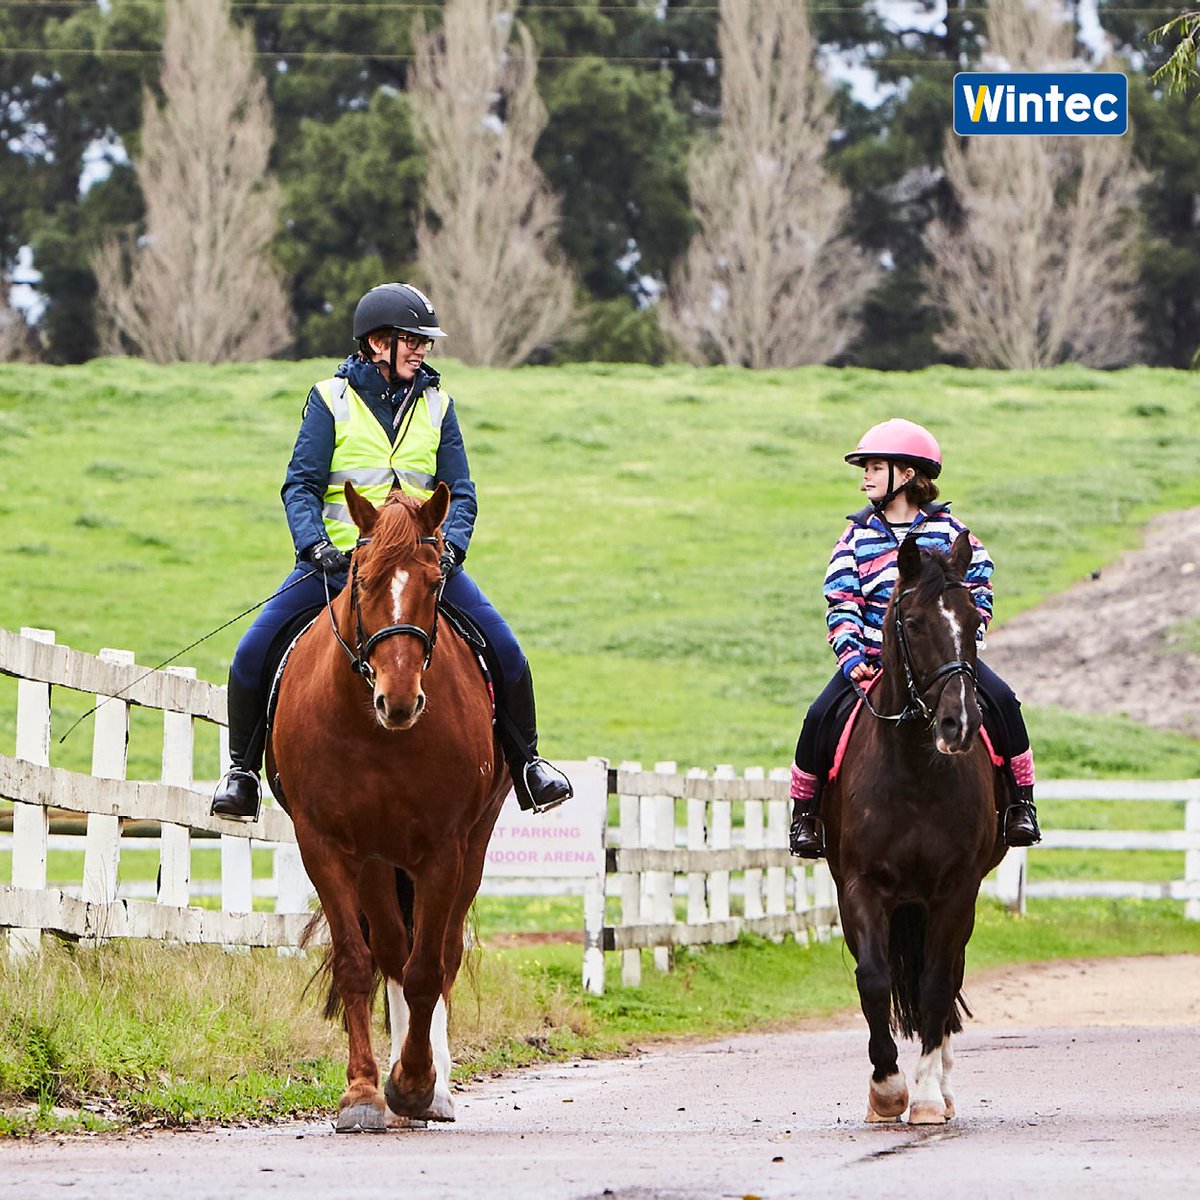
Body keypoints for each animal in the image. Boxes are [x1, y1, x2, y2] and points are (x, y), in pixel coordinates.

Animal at [266, 481, 510, 1131]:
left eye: (433, 580)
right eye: (363, 578)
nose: (397, 700)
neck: (378, 735)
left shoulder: (444, 849)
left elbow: (429, 968)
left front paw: (416, 1084)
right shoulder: (325, 844)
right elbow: (359, 961)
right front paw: (361, 1093)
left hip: (471, 848)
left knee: (441, 954)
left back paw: (434, 1089)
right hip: (377, 862)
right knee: (392, 951)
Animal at [821, 530, 1007, 1125]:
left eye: (972, 619)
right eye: (916, 623)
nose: (959, 724)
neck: (915, 772)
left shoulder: (955, 891)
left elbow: (934, 985)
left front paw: (924, 1097)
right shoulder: (859, 887)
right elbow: (874, 979)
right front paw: (886, 1089)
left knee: (948, 980)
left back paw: (942, 1092)